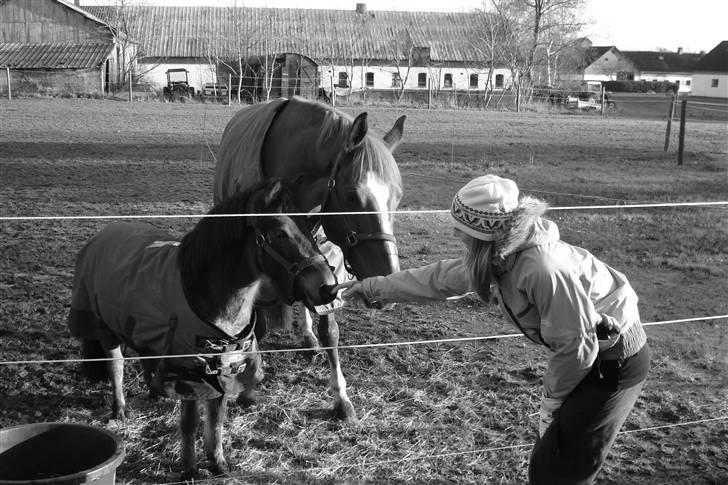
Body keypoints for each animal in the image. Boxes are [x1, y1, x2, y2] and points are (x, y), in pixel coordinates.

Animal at [68, 179, 338, 476]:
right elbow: (190, 424)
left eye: (311, 229)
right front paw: (190, 469)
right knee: (115, 364)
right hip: (105, 328)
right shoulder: (190, 372)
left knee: (145, 357)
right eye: (280, 233)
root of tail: (104, 234)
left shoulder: (224, 367)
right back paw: (120, 409)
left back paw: (154, 394)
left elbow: (217, 418)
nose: (328, 286)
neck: (207, 291)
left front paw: (218, 463)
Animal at [213, 94, 406, 420]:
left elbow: (330, 332)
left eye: (398, 197)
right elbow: (258, 329)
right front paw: (248, 389)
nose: (387, 278)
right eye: (352, 195)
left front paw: (341, 398)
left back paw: (307, 337)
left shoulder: (328, 268)